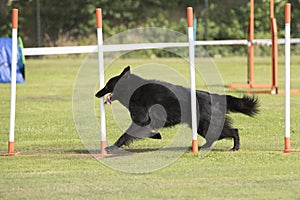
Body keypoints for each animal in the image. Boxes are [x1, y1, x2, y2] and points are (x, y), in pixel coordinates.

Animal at [95, 67, 258, 152]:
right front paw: (157, 135)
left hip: (205, 124)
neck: (133, 90)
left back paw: (234, 148)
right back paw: (203, 147)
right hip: (200, 126)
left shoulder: (143, 120)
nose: (96, 94)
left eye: (108, 85)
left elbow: (127, 134)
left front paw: (111, 147)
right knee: (216, 137)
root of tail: (215, 97)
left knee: (233, 131)